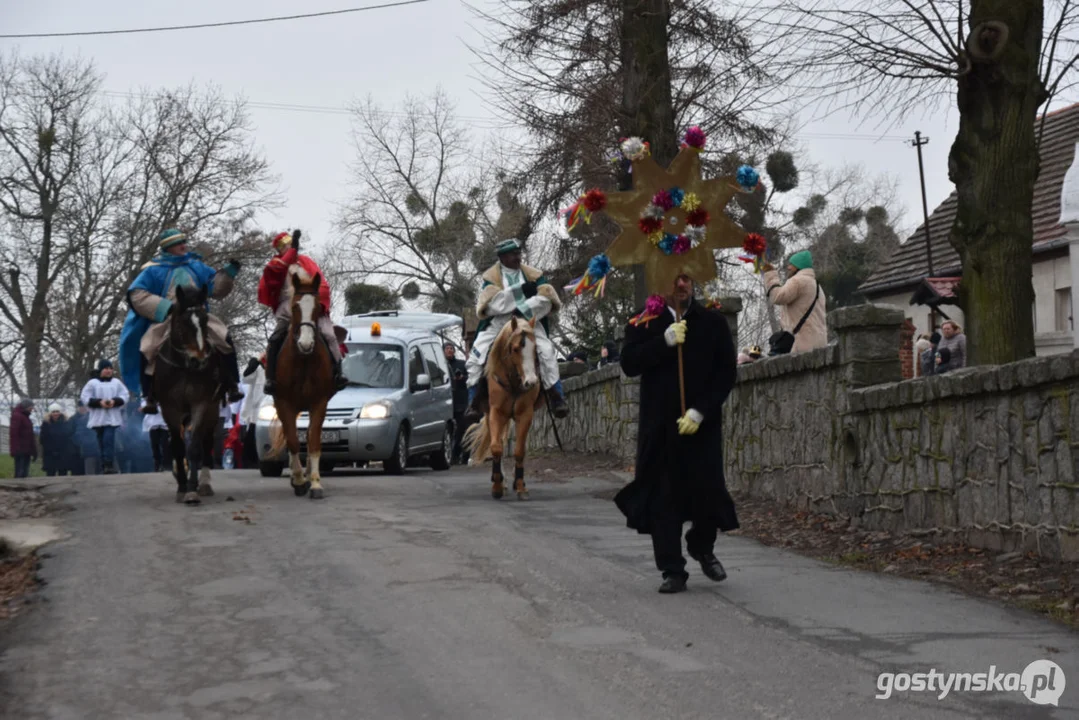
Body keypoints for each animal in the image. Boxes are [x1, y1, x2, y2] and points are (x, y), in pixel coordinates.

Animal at [154, 284, 227, 505]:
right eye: (183, 322)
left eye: (204, 320)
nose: (200, 360)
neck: (184, 368)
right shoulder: (169, 408)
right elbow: (177, 446)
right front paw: (182, 487)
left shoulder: (201, 404)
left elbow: (194, 446)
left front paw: (192, 490)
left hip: (212, 411)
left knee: (207, 440)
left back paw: (204, 484)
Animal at [267, 269, 334, 500]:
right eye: (295, 307)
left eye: (317, 307)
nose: (305, 344)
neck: (303, 360)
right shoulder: (284, 403)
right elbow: (293, 441)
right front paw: (298, 480)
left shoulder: (319, 403)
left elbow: (313, 441)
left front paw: (314, 483)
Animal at [466, 317, 548, 500]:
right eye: (516, 348)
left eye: (535, 349)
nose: (531, 382)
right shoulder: (496, 413)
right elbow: (496, 448)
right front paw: (497, 485)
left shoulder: (525, 414)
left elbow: (519, 451)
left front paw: (520, 486)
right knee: (497, 443)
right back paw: (500, 481)